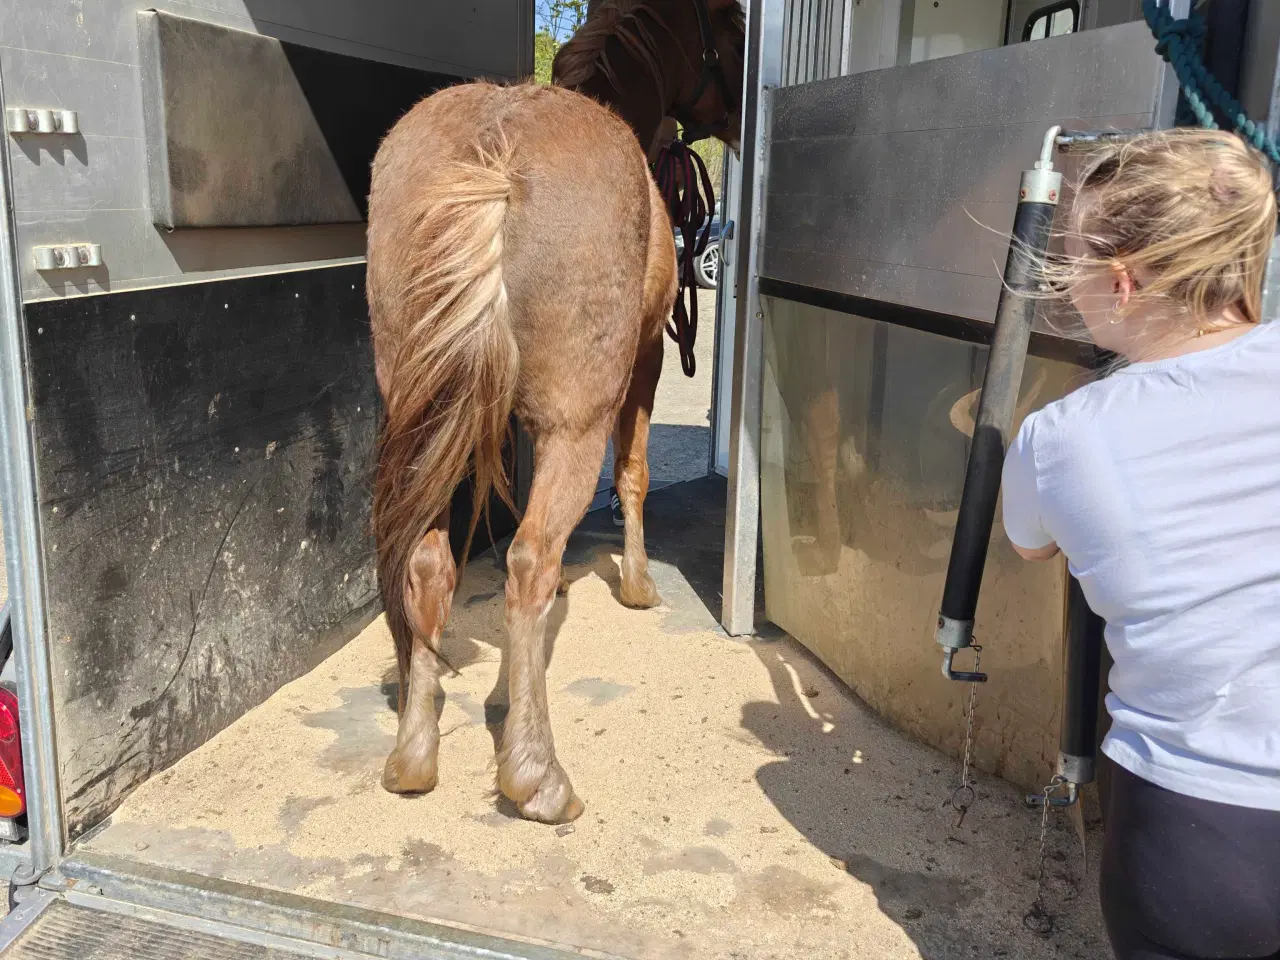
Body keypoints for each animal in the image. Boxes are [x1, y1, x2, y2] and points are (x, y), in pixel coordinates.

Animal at [366, 0, 746, 824]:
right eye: (733, 29)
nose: (737, 120)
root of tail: (496, 147)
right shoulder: (644, 363)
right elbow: (633, 474)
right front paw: (637, 585)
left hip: (427, 418)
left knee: (427, 560)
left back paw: (413, 756)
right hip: (581, 420)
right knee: (528, 559)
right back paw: (537, 775)